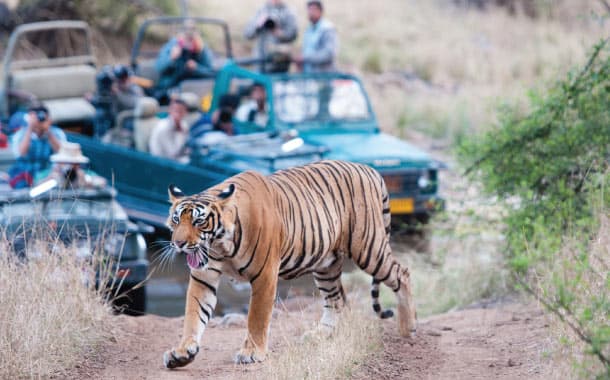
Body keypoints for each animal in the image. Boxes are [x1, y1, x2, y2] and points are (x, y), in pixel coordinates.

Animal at [162, 160, 414, 368]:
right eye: (176, 220)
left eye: (199, 221)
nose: (179, 244)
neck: (221, 246)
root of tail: (369, 169)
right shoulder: (203, 277)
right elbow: (194, 314)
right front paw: (182, 352)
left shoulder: (264, 275)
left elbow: (256, 317)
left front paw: (252, 353)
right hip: (326, 264)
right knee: (335, 299)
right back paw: (320, 335)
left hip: (369, 248)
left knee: (402, 274)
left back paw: (408, 328)